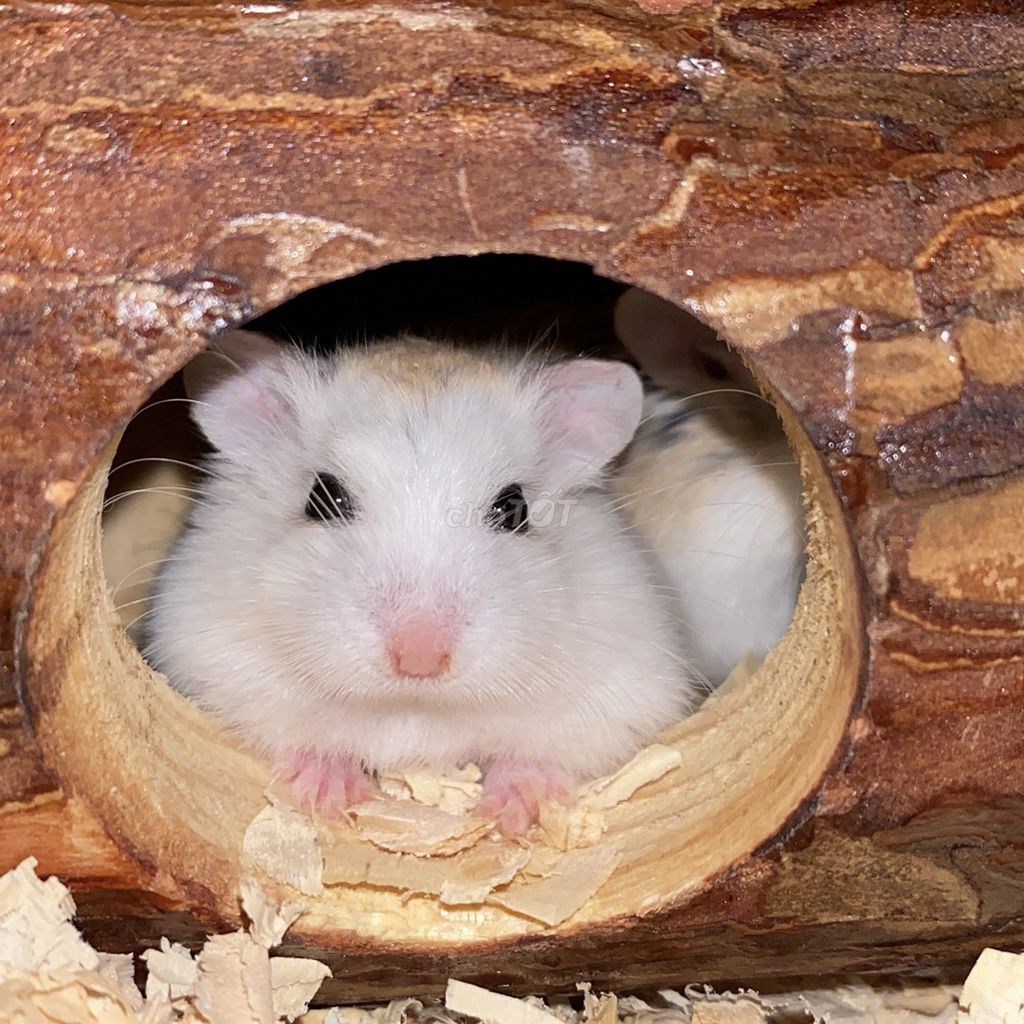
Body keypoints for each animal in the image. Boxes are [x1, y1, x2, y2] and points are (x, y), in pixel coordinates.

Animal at [147, 331, 696, 835]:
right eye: (323, 497)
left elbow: (547, 752)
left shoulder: (623, 683)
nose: (419, 657)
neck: (414, 707)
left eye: (514, 508)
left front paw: (516, 811)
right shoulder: (214, 659)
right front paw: (327, 796)